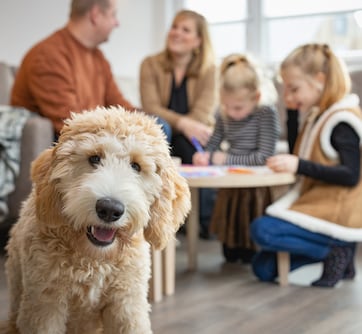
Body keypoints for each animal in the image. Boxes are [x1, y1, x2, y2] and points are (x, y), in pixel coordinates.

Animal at [1, 107, 191, 334]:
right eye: (94, 158)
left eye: (136, 166)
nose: (109, 209)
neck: (94, 260)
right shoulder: (44, 305)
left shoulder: (127, 304)